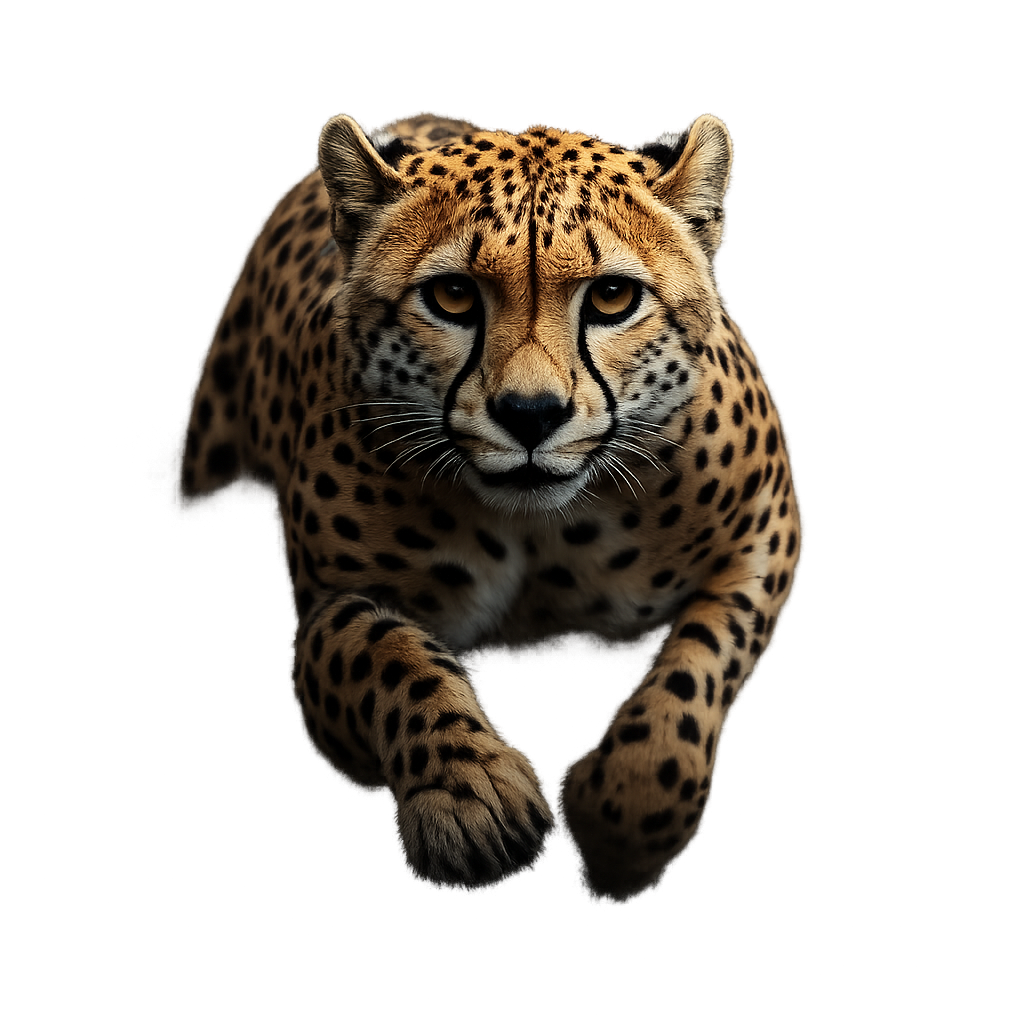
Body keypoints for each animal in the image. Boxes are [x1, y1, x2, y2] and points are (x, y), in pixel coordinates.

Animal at [183, 111, 799, 897]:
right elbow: (387, 652)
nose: (531, 414)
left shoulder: (765, 522)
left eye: (612, 298)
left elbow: (705, 654)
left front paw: (631, 804)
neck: (542, 532)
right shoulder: (326, 608)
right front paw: (467, 796)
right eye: (451, 297)